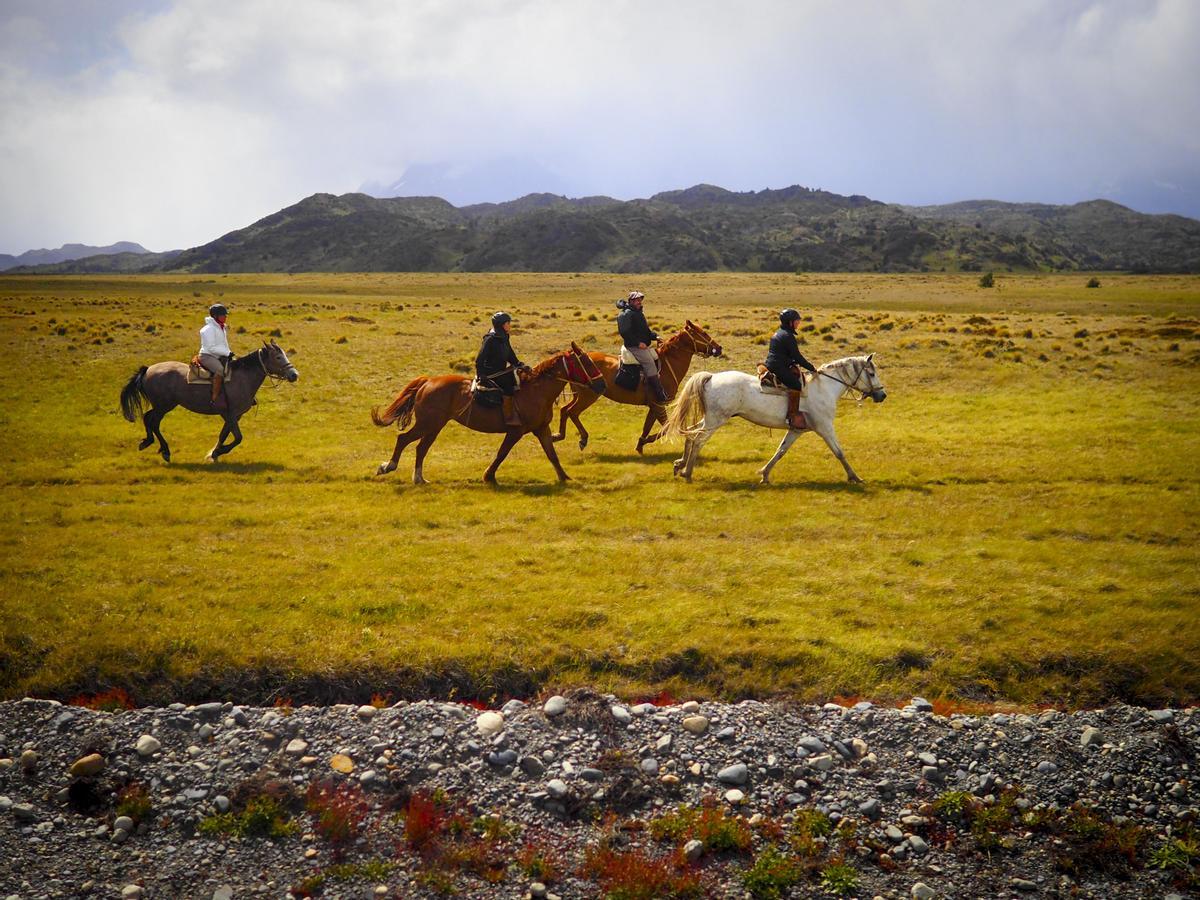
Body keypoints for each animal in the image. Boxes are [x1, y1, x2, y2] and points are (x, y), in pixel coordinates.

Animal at [119, 340, 300, 465]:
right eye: (278, 357)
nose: (294, 375)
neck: (242, 378)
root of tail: (148, 369)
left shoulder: (233, 416)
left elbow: (224, 434)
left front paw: (214, 453)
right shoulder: (231, 414)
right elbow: (238, 438)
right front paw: (219, 451)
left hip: (161, 406)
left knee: (147, 418)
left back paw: (148, 442)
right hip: (164, 406)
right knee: (154, 422)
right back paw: (165, 451)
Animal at [367, 340, 609, 487]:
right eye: (586, 362)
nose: (601, 385)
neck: (536, 390)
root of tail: (427, 382)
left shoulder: (541, 429)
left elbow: (552, 454)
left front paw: (564, 477)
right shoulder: (516, 431)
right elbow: (502, 453)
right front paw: (489, 476)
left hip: (435, 426)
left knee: (420, 447)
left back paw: (419, 478)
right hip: (428, 423)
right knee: (404, 439)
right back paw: (389, 467)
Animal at [549, 321, 720, 453]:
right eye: (703, 333)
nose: (719, 348)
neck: (667, 364)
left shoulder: (654, 406)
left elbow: (648, 427)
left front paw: (640, 444)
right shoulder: (658, 405)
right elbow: (666, 427)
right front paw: (645, 441)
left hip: (579, 395)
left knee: (564, 410)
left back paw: (558, 435)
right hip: (587, 397)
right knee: (572, 412)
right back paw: (583, 439)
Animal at [662, 355, 888, 487]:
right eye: (871, 373)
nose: (882, 395)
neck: (824, 387)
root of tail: (711, 377)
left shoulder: (796, 430)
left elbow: (781, 451)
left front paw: (764, 474)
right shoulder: (825, 428)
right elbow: (839, 452)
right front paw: (855, 477)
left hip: (709, 419)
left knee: (690, 434)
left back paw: (679, 465)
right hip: (716, 420)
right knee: (698, 440)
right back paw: (688, 472)